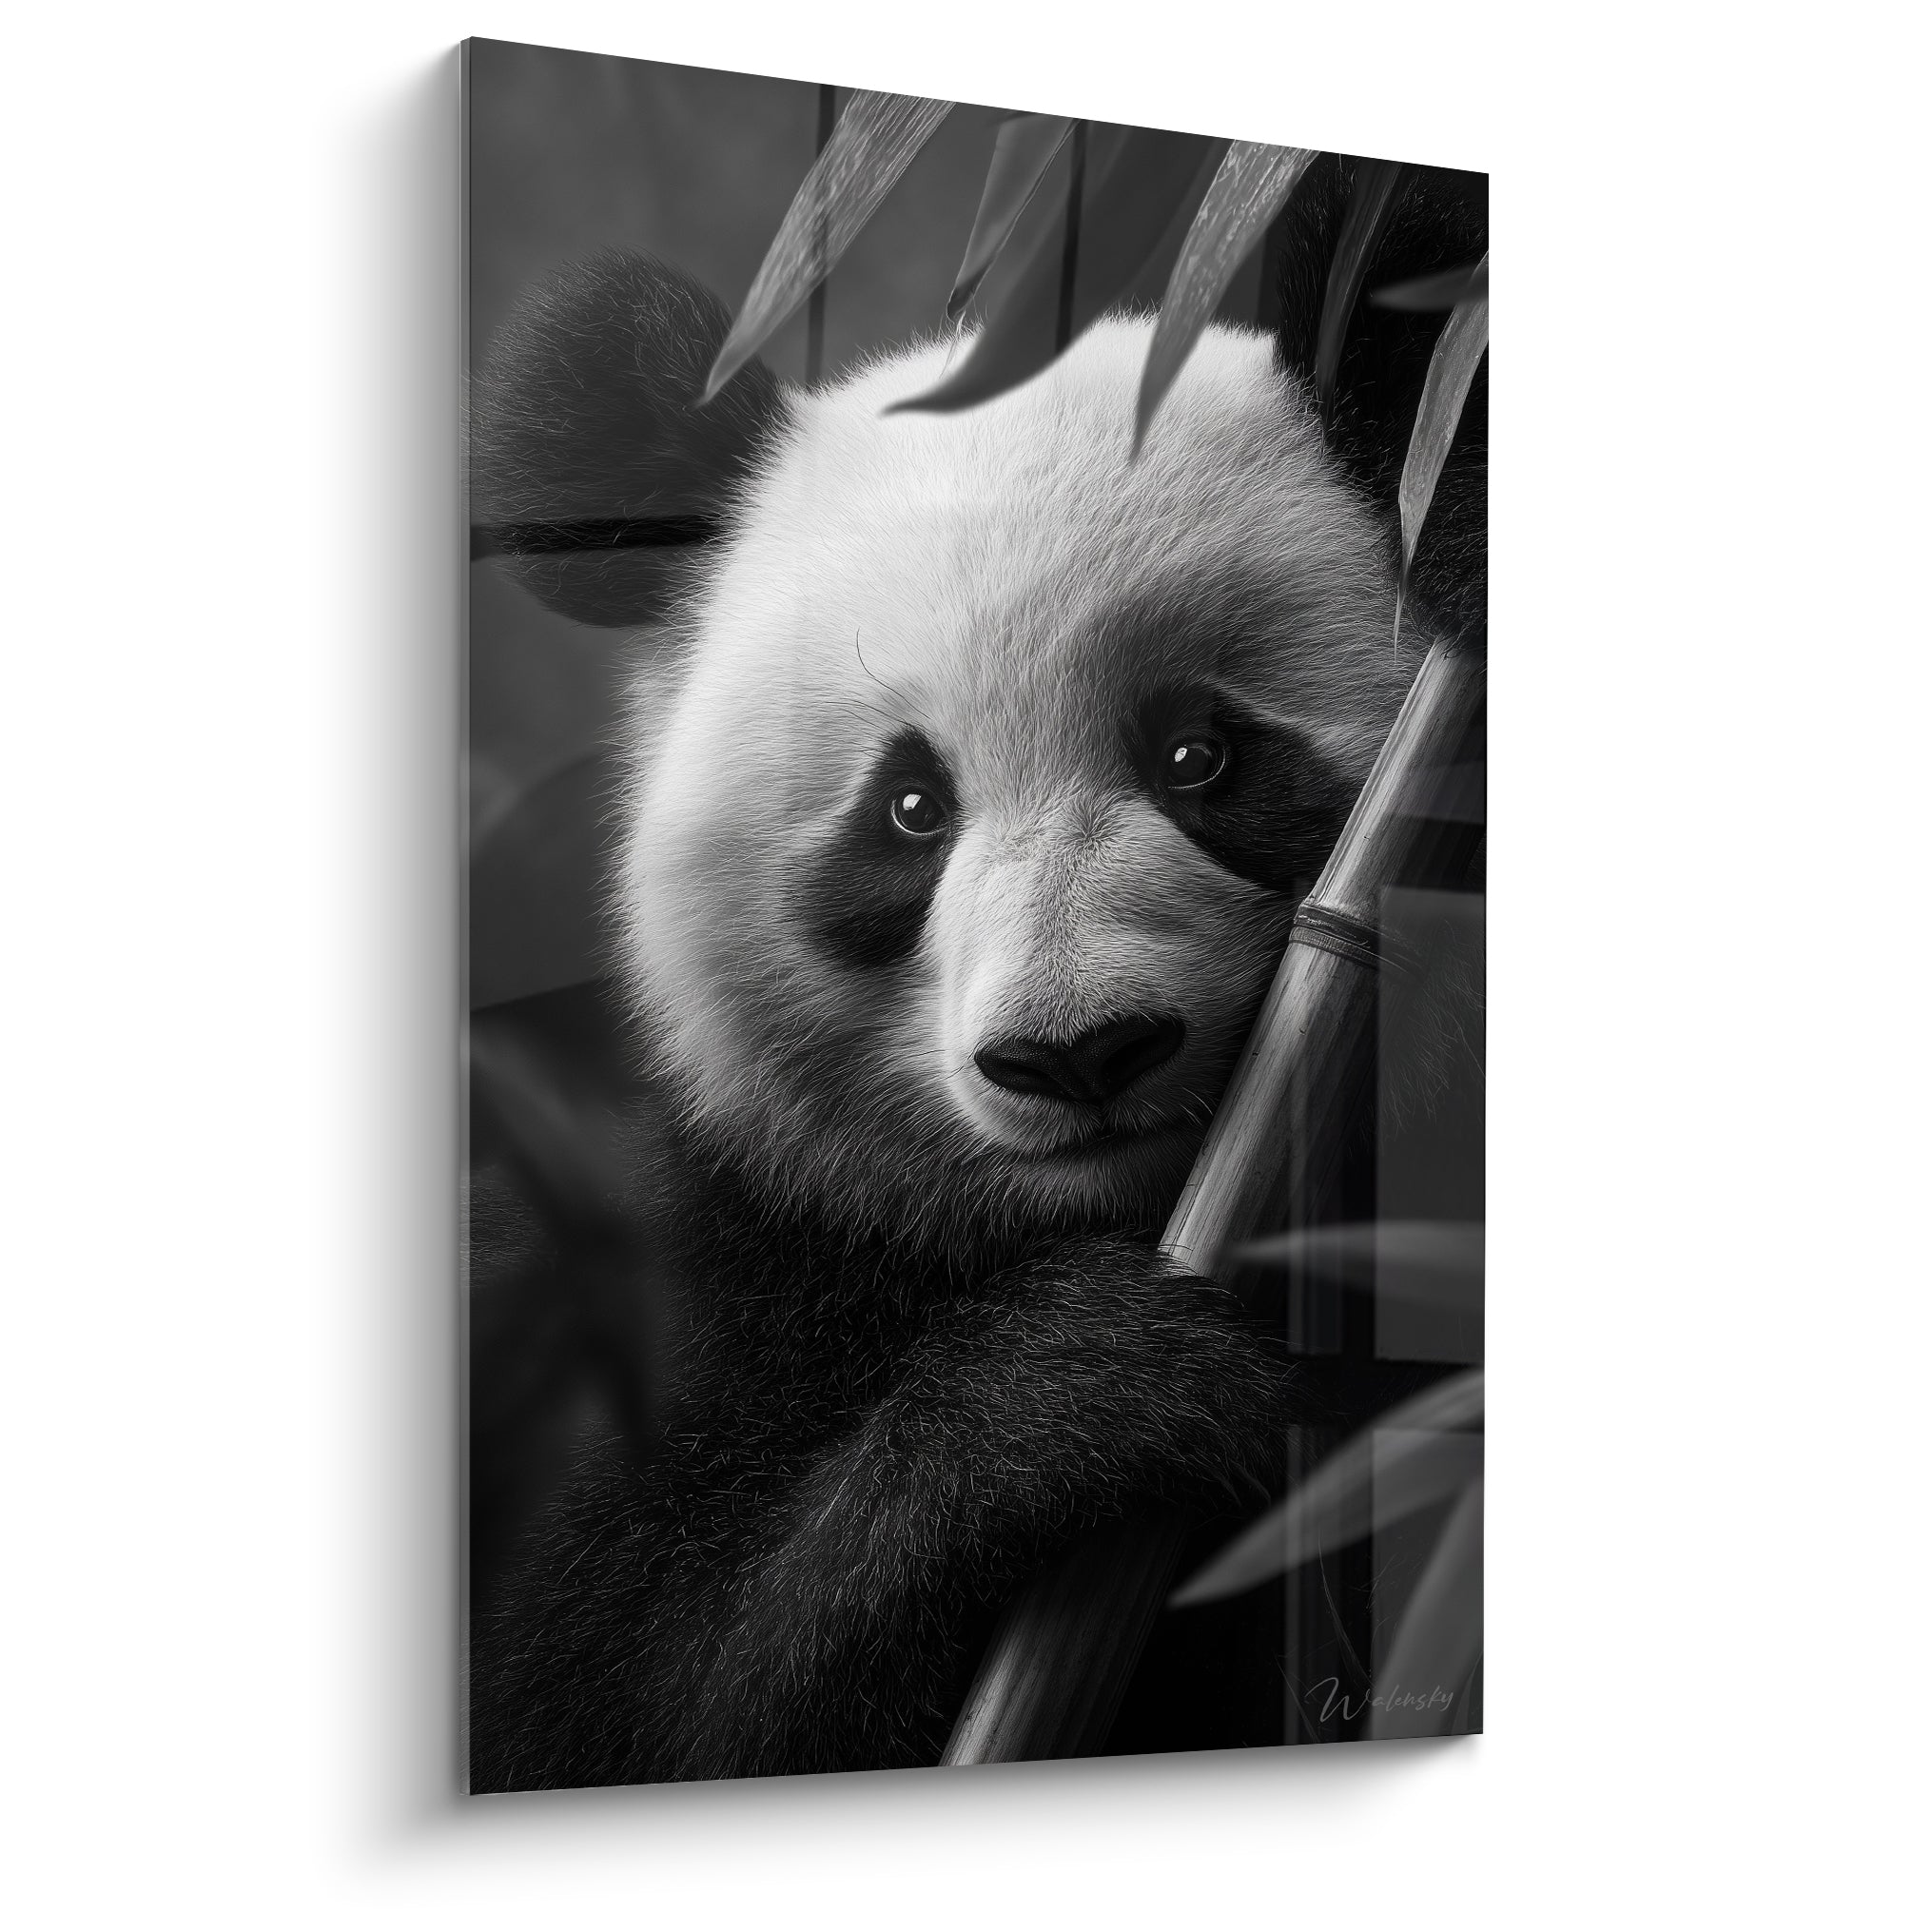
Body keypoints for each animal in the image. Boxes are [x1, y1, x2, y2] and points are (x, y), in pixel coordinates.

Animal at [467, 155, 1486, 1790]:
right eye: (907, 806)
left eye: (1199, 754)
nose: (1077, 1053)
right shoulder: (660, 1271)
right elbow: (603, 1709)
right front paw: (1085, 1392)